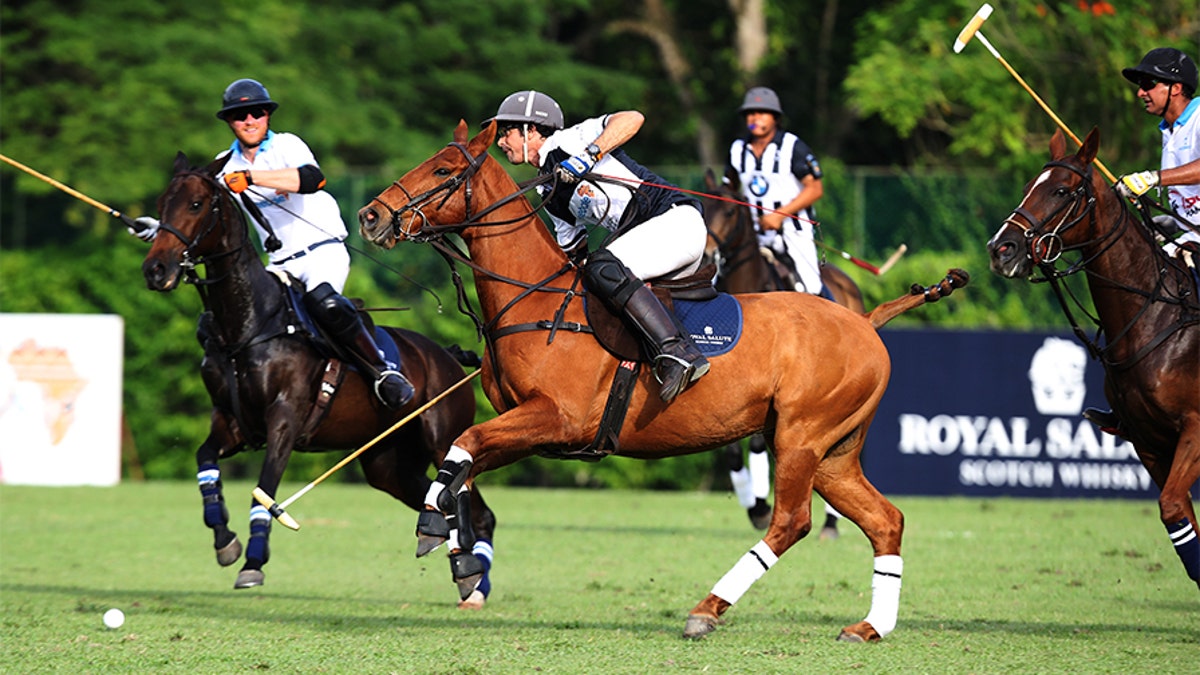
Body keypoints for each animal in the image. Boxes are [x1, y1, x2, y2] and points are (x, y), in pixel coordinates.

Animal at [141, 152, 496, 605]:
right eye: (162, 203)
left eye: (197, 204)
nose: (156, 269)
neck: (249, 325)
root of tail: (447, 356)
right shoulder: (231, 420)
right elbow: (205, 460)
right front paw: (225, 540)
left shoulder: (285, 419)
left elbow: (265, 487)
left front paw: (253, 562)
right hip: (386, 464)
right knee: (443, 503)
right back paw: (468, 573)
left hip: (441, 437)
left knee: (474, 507)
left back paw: (472, 577)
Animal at [700, 166, 868, 530]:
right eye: (704, 208)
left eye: (731, 211)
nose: (706, 255)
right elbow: (732, 452)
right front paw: (753, 504)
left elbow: (757, 443)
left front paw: (762, 506)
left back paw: (831, 523)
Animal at [988, 127, 1195, 588]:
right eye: (1028, 186)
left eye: (1062, 190)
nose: (1001, 248)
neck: (1155, 315)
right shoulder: (1148, 441)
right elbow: (1180, 513)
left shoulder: (1195, 428)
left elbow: (1173, 506)